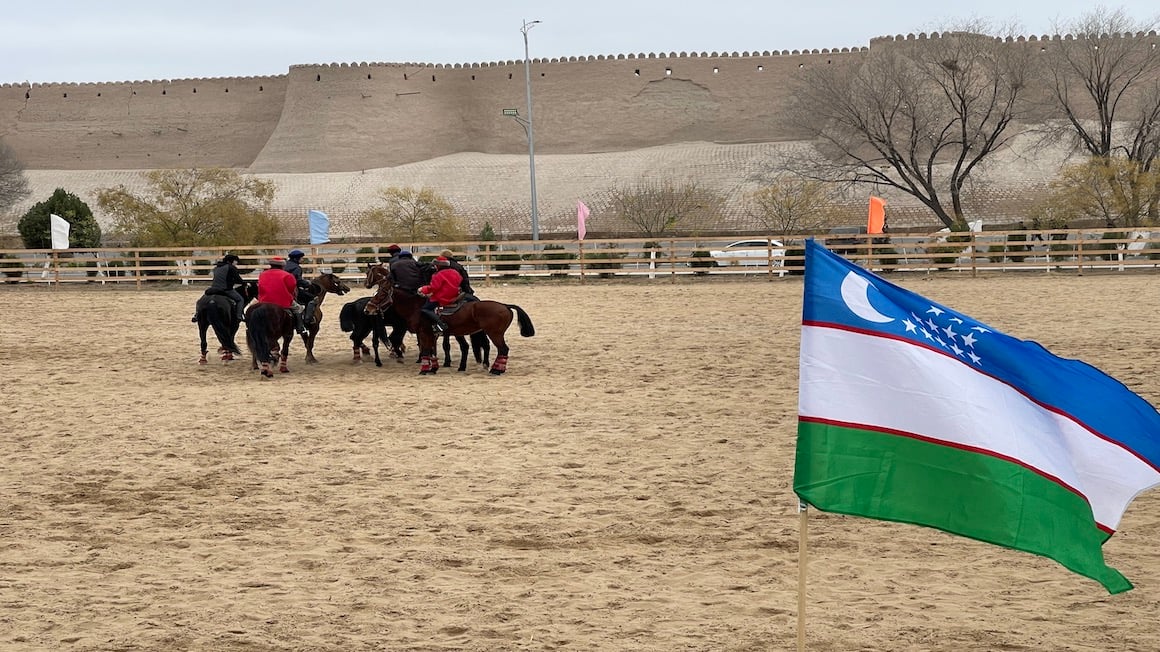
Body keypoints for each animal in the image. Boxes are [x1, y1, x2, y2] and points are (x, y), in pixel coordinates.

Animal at [361, 281, 533, 373]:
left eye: (381, 294)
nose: (367, 309)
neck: (416, 307)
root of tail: (504, 305)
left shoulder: (424, 333)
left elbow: (426, 350)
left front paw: (425, 370)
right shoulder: (430, 334)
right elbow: (431, 351)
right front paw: (433, 368)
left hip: (495, 334)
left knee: (503, 349)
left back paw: (496, 370)